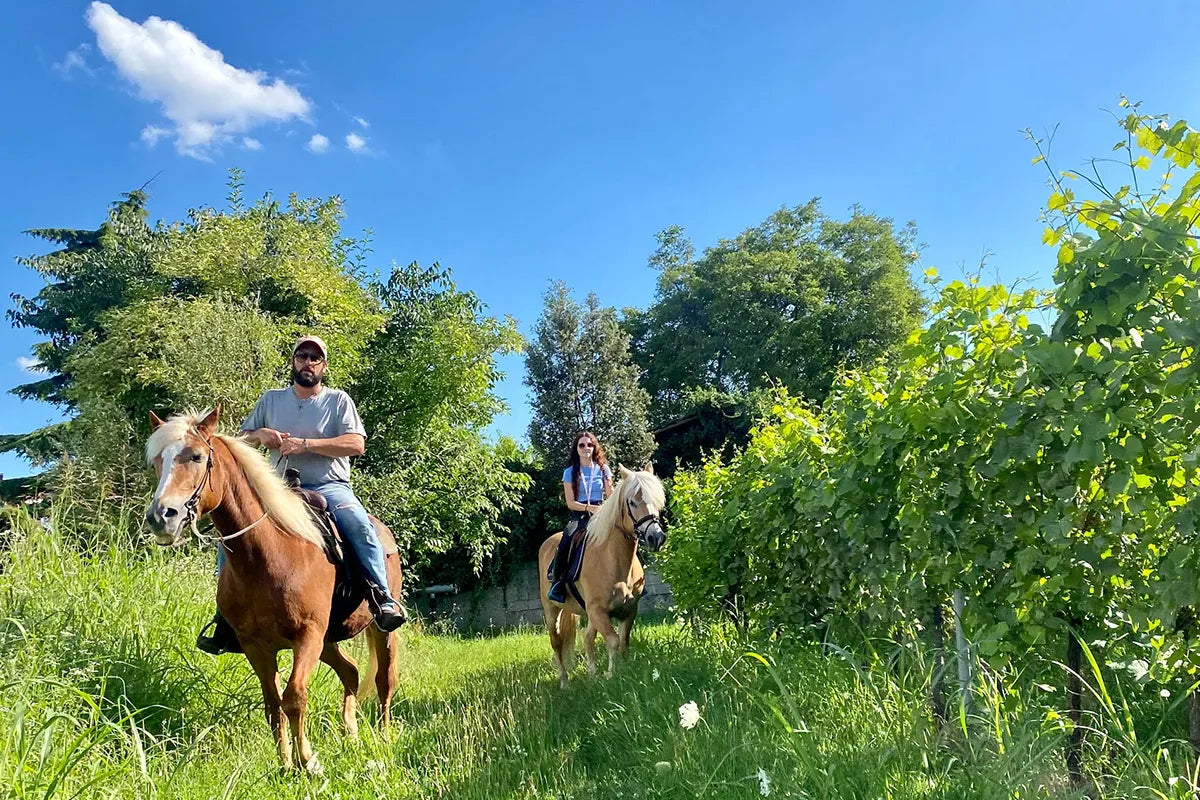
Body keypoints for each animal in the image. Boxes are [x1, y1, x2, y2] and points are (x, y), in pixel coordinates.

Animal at [144, 410, 398, 772]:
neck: (270, 553)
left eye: (196, 456)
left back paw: (383, 736)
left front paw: (308, 761)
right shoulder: (256, 645)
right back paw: (350, 732)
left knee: (384, 681)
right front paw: (286, 764)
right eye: (157, 462)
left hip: (379, 631)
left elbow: (294, 698)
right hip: (328, 641)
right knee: (350, 672)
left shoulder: (307, 636)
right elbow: (273, 705)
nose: (161, 516)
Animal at [542, 462, 672, 690]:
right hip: (551, 610)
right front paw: (612, 675)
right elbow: (612, 640)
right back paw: (565, 682)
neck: (612, 560)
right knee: (556, 642)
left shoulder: (628, 610)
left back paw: (592, 675)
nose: (656, 537)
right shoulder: (598, 611)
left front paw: (624, 670)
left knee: (587, 638)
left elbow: (623, 641)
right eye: (632, 501)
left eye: (657, 500)